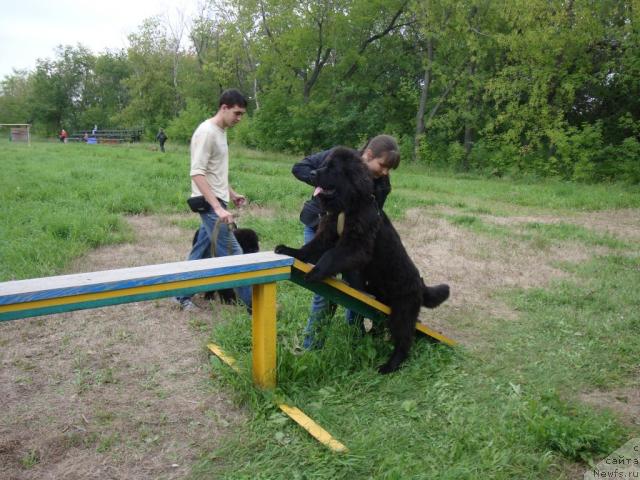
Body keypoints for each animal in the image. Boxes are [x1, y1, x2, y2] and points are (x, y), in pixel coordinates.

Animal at [276, 146, 450, 376]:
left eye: (333, 169)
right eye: (324, 164)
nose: (312, 174)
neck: (348, 205)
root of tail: (420, 284)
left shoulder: (356, 245)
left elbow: (329, 255)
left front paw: (316, 271)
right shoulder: (328, 233)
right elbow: (310, 248)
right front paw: (289, 251)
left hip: (402, 311)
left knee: (404, 341)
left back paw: (389, 366)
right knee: (380, 325)